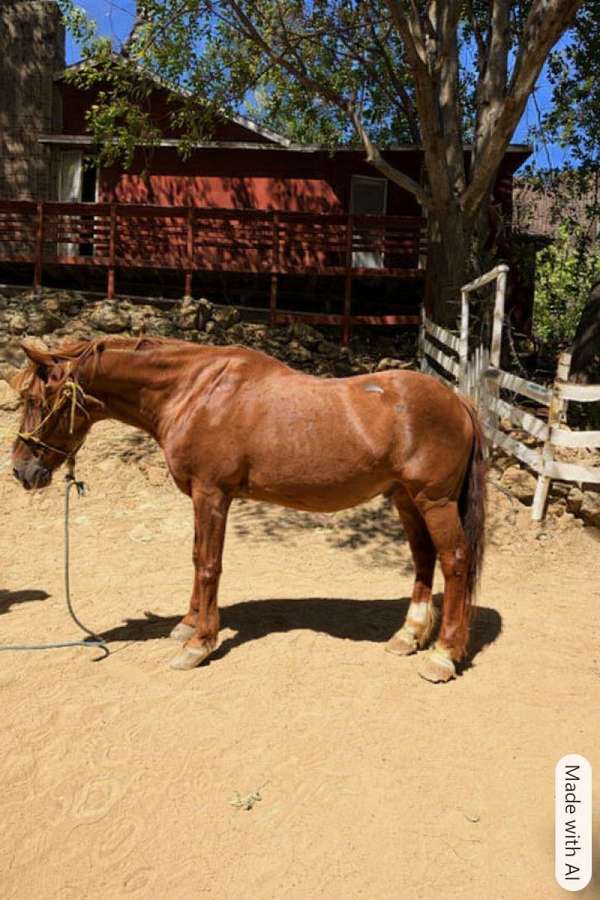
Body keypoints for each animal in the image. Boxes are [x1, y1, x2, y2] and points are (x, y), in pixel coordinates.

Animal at [11, 336, 486, 683]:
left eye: (37, 401)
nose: (20, 470)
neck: (194, 393)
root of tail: (458, 401)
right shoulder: (201, 497)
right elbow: (195, 558)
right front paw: (188, 624)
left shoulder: (212, 494)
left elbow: (208, 564)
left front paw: (198, 645)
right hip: (406, 499)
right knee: (424, 559)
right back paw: (409, 635)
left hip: (434, 502)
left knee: (454, 561)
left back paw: (443, 655)